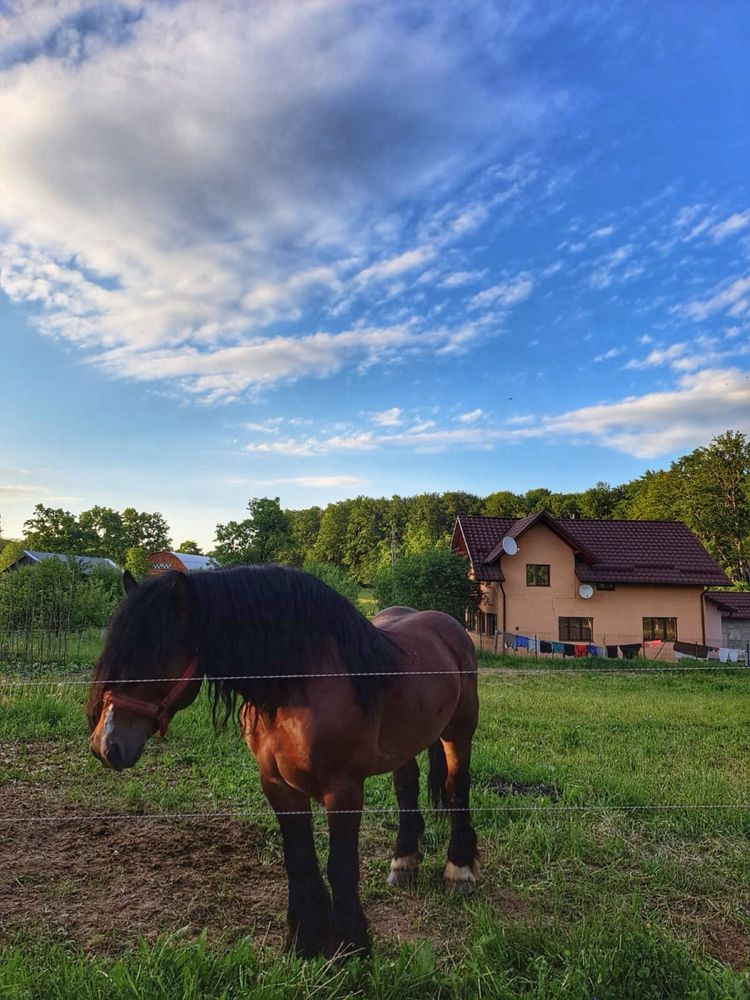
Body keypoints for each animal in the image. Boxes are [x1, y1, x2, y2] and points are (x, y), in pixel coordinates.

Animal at [86, 568, 476, 956]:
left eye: (153, 656)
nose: (107, 745)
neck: (299, 684)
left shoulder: (344, 790)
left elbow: (341, 866)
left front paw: (352, 944)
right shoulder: (277, 785)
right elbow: (299, 859)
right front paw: (305, 942)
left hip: (459, 733)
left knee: (457, 789)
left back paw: (460, 871)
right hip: (405, 743)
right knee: (406, 786)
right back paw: (404, 862)